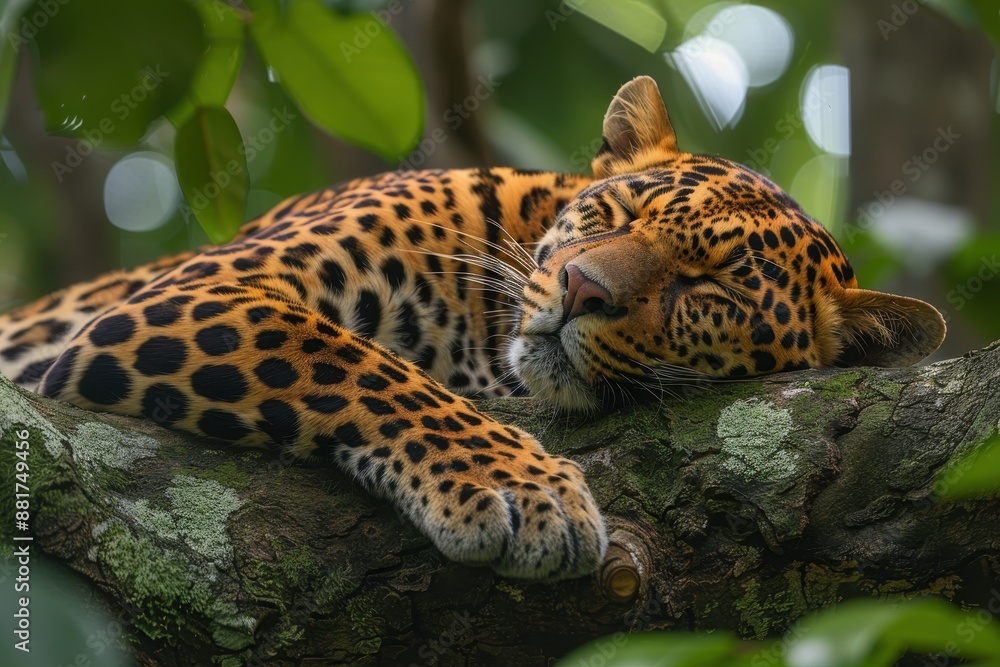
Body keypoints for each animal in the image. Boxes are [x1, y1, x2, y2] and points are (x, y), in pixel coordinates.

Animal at [0, 76, 946, 580]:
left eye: (707, 287)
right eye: (620, 211)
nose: (582, 288)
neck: (479, 348)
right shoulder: (207, 288)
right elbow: (369, 368)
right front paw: (530, 492)